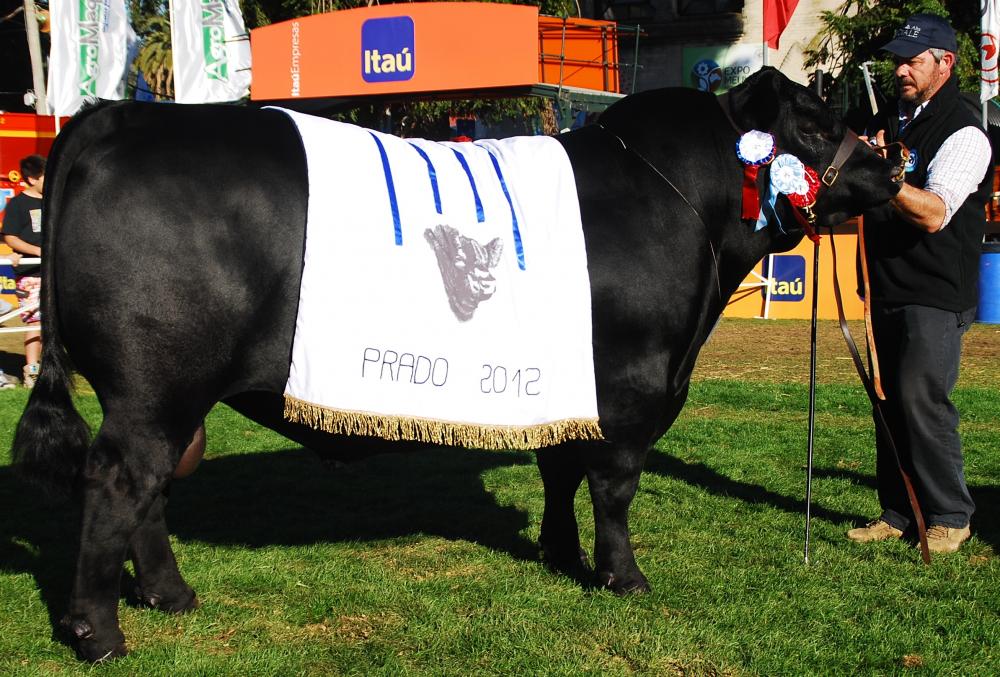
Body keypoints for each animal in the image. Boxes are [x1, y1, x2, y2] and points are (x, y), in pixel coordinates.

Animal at [7, 66, 900, 656]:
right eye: (816, 124)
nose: (888, 169)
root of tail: (119, 115)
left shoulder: (569, 387)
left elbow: (558, 469)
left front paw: (560, 554)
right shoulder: (634, 385)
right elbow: (613, 489)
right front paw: (624, 576)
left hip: (165, 394)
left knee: (150, 489)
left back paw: (171, 595)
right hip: (153, 385)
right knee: (120, 482)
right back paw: (99, 631)